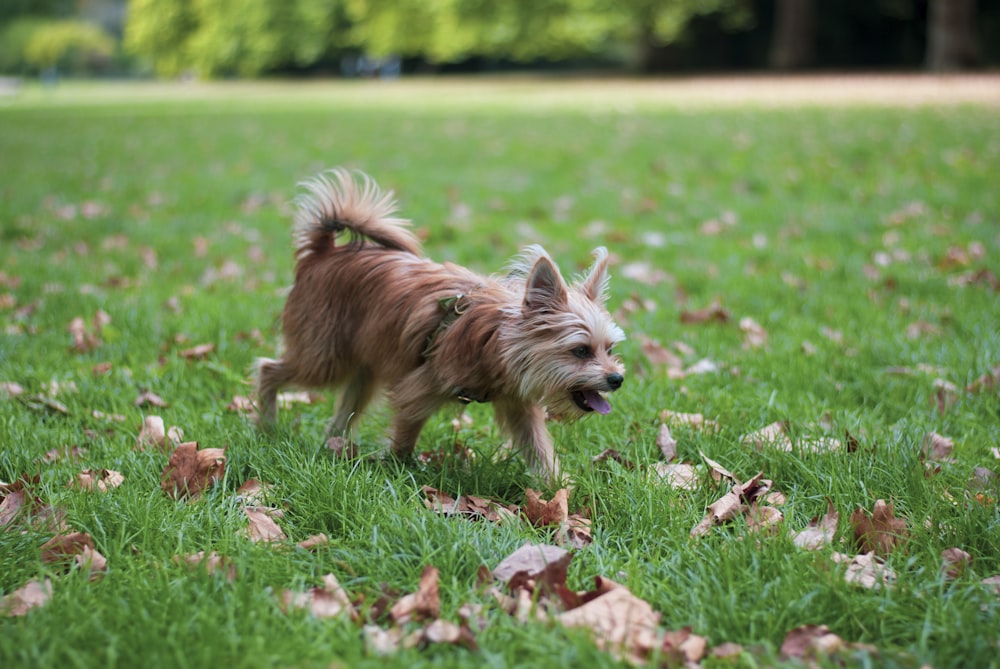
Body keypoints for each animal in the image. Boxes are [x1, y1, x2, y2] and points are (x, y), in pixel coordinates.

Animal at [254, 168, 624, 480]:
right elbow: (405, 436)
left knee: (344, 411)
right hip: (324, 359)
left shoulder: (519, 407)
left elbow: (540, 450)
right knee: (268, 369)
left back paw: (333, 446)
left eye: (610, 349)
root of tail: (323, 252)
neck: (495, 341)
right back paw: (266, 427)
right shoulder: (416, 389)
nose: (617, 378)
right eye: (580, 351)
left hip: (363, 370)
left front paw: (556, 492)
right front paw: (399, 471)